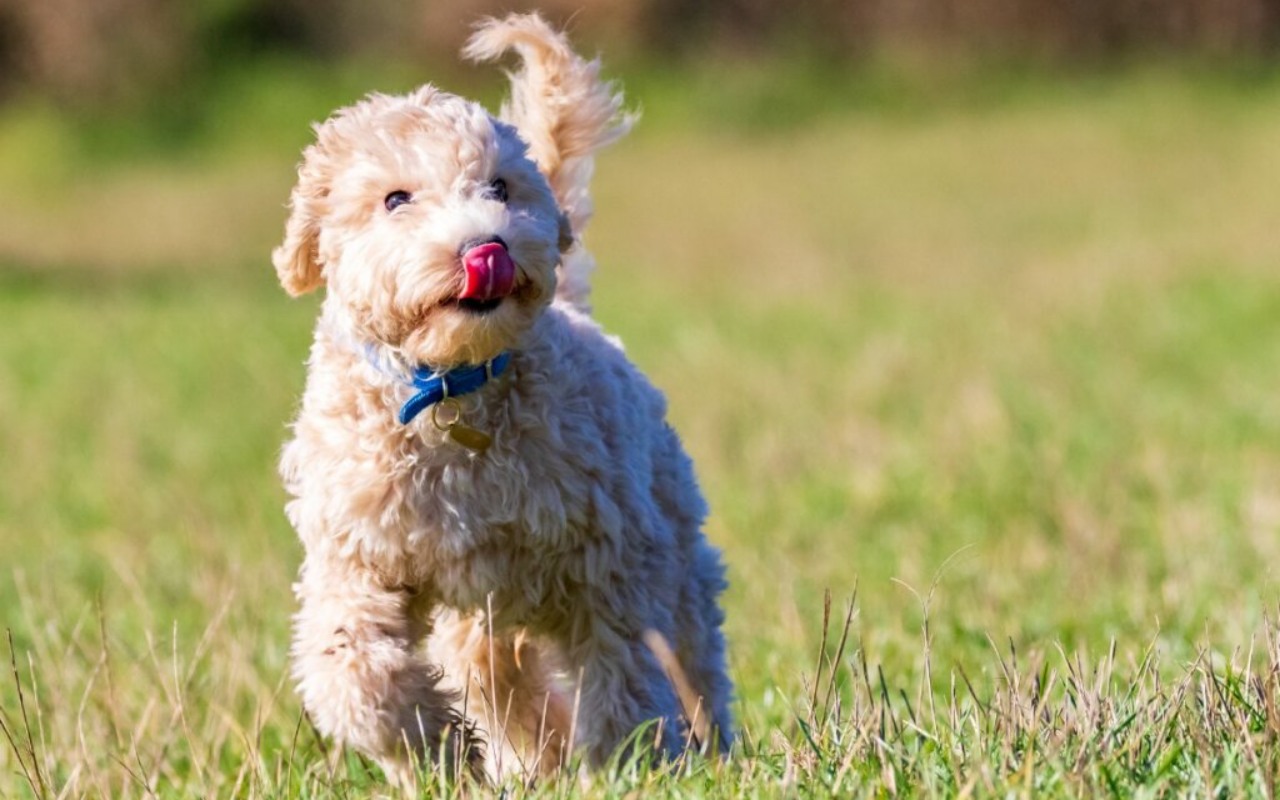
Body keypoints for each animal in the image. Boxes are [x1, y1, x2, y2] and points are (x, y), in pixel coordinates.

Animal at [270, 12, 732, 788]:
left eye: (500, 187)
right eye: (395, 199)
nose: (487, 247)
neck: (452, 392)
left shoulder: (611, 554)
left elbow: (624, 664)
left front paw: (623, 765)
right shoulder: (356, 556)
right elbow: (353, 669)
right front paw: (436, 753)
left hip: (671, 545)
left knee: (692, 656)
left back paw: (711, 749)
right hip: (481, 618)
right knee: (501, 681)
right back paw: (532, 761)